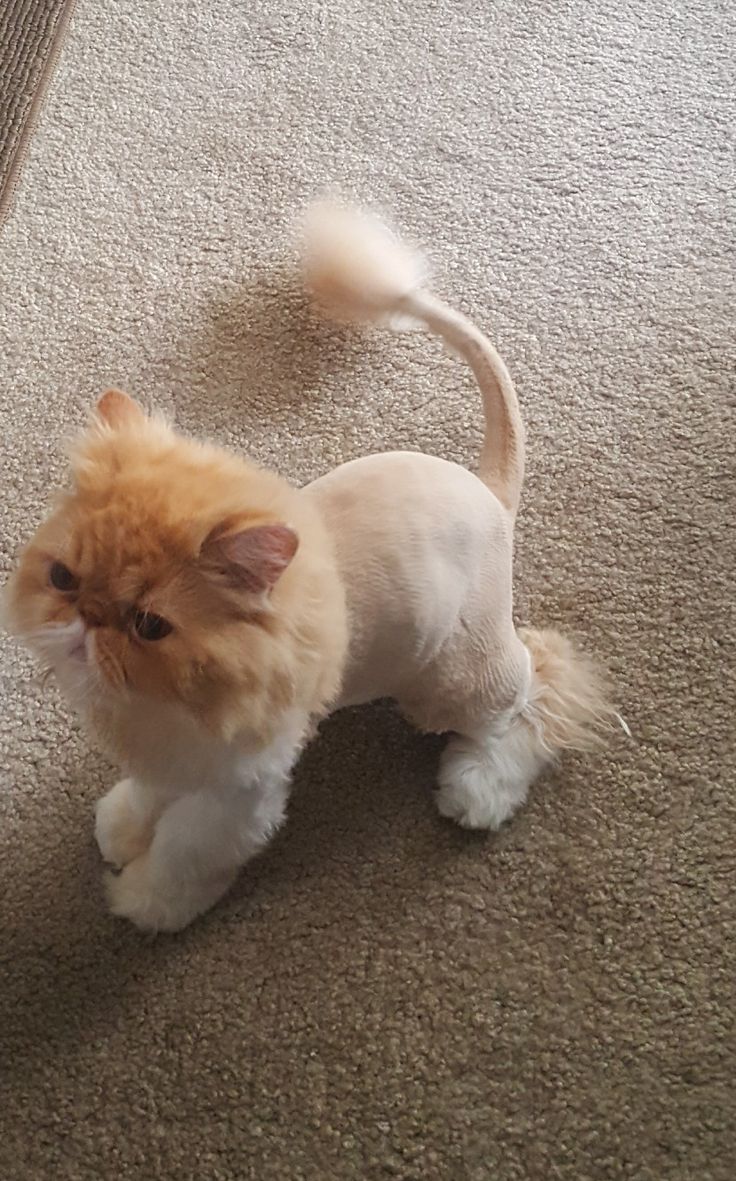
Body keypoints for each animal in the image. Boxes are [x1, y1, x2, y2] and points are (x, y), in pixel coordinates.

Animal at [4, 207, 614, 935]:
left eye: (149, 625)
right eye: (65, 580)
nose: (86, 622)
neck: (163, 701)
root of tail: (489, 491)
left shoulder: (239, 792)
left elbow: (183, 853)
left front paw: (144, 901)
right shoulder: (174, 755)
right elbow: (148, 798)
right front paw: (122, 828)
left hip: (451, 683)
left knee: (535, 692)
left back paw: (476, 790)